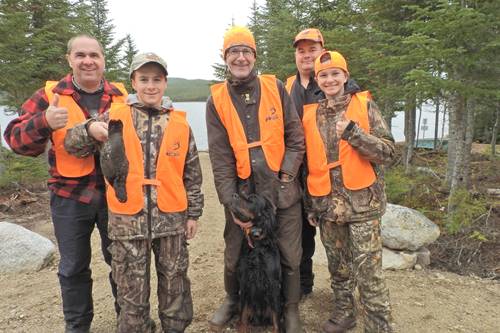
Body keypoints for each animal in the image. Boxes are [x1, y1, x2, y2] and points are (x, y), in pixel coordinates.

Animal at [229, 192, 282, 332]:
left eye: (252, 199)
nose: (233, 194)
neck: (257, 247)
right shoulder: (245, 282)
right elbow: (243, 318)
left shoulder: (273, 285)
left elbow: (276, 321)